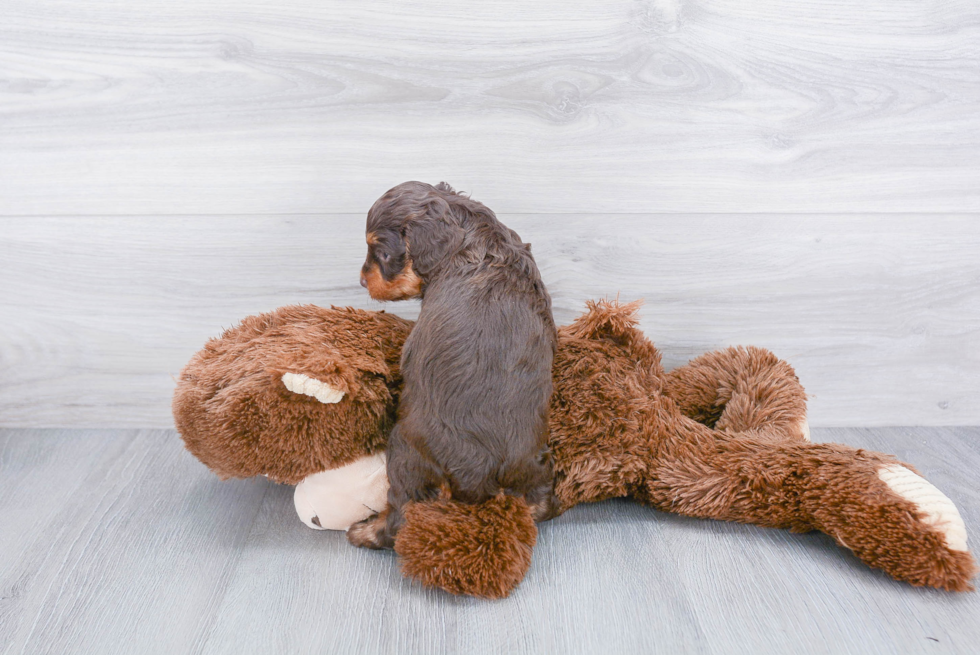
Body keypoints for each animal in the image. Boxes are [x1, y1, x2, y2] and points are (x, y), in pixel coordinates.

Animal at [350, 181, 560, 548]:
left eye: (384, 254)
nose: (362, 281)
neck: (475, 238)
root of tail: (479, 480)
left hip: (406, 453)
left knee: (401, 515)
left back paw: (366, 531)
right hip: (535, 460)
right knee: (542, 497)